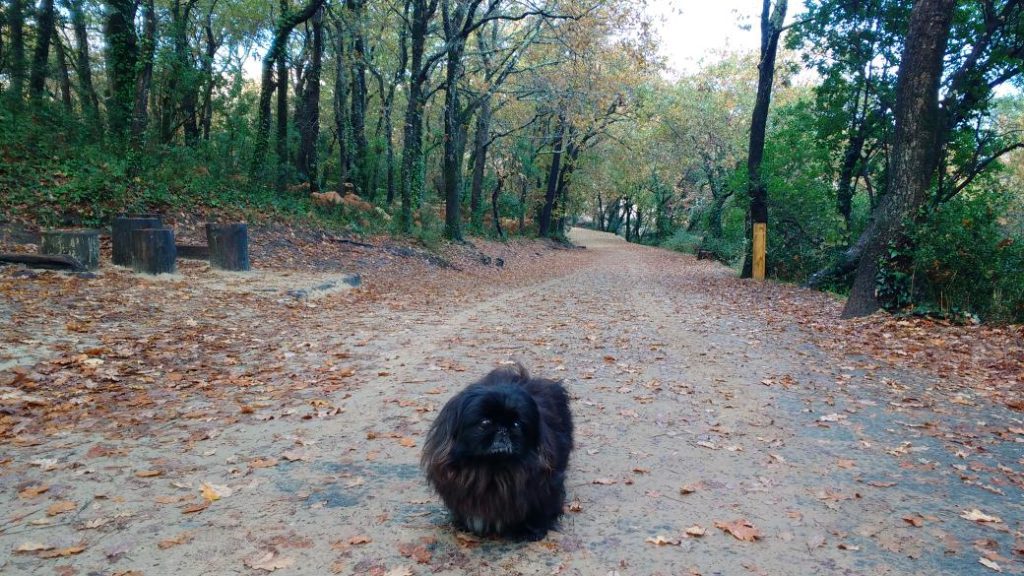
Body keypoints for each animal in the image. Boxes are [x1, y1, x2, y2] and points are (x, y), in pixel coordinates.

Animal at [419, 362, 573, 537]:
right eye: (485, 422)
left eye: (516, 425)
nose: (503, 429)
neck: (492, 469)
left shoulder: (543, 486)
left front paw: (529, 530)